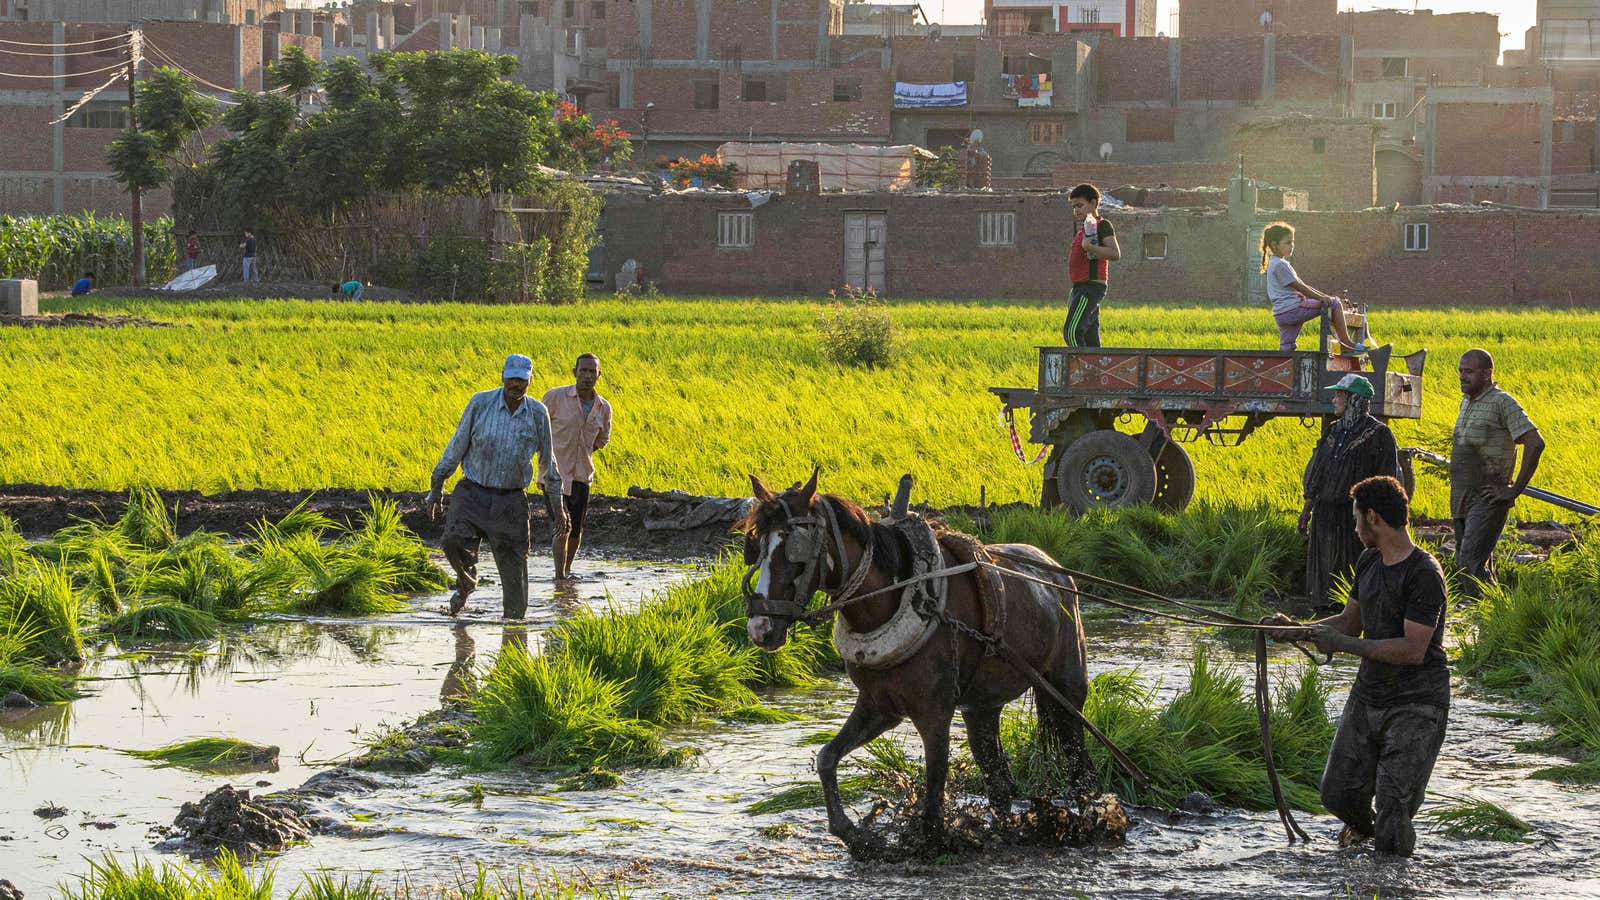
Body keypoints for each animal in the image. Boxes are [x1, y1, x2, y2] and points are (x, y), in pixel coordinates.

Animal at [742, 470, 1094, 845]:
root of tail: (1054, 567)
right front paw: (852, 833)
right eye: (756, 547)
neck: (891, 600)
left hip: (1067, 690)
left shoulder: (934, 712)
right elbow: (826, 758)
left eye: (795, 551)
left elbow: (935, 782)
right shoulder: (879, 706)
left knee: (1078, 764)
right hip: (982, 708)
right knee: (997, 778)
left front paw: (928, 838)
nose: (760, 628)